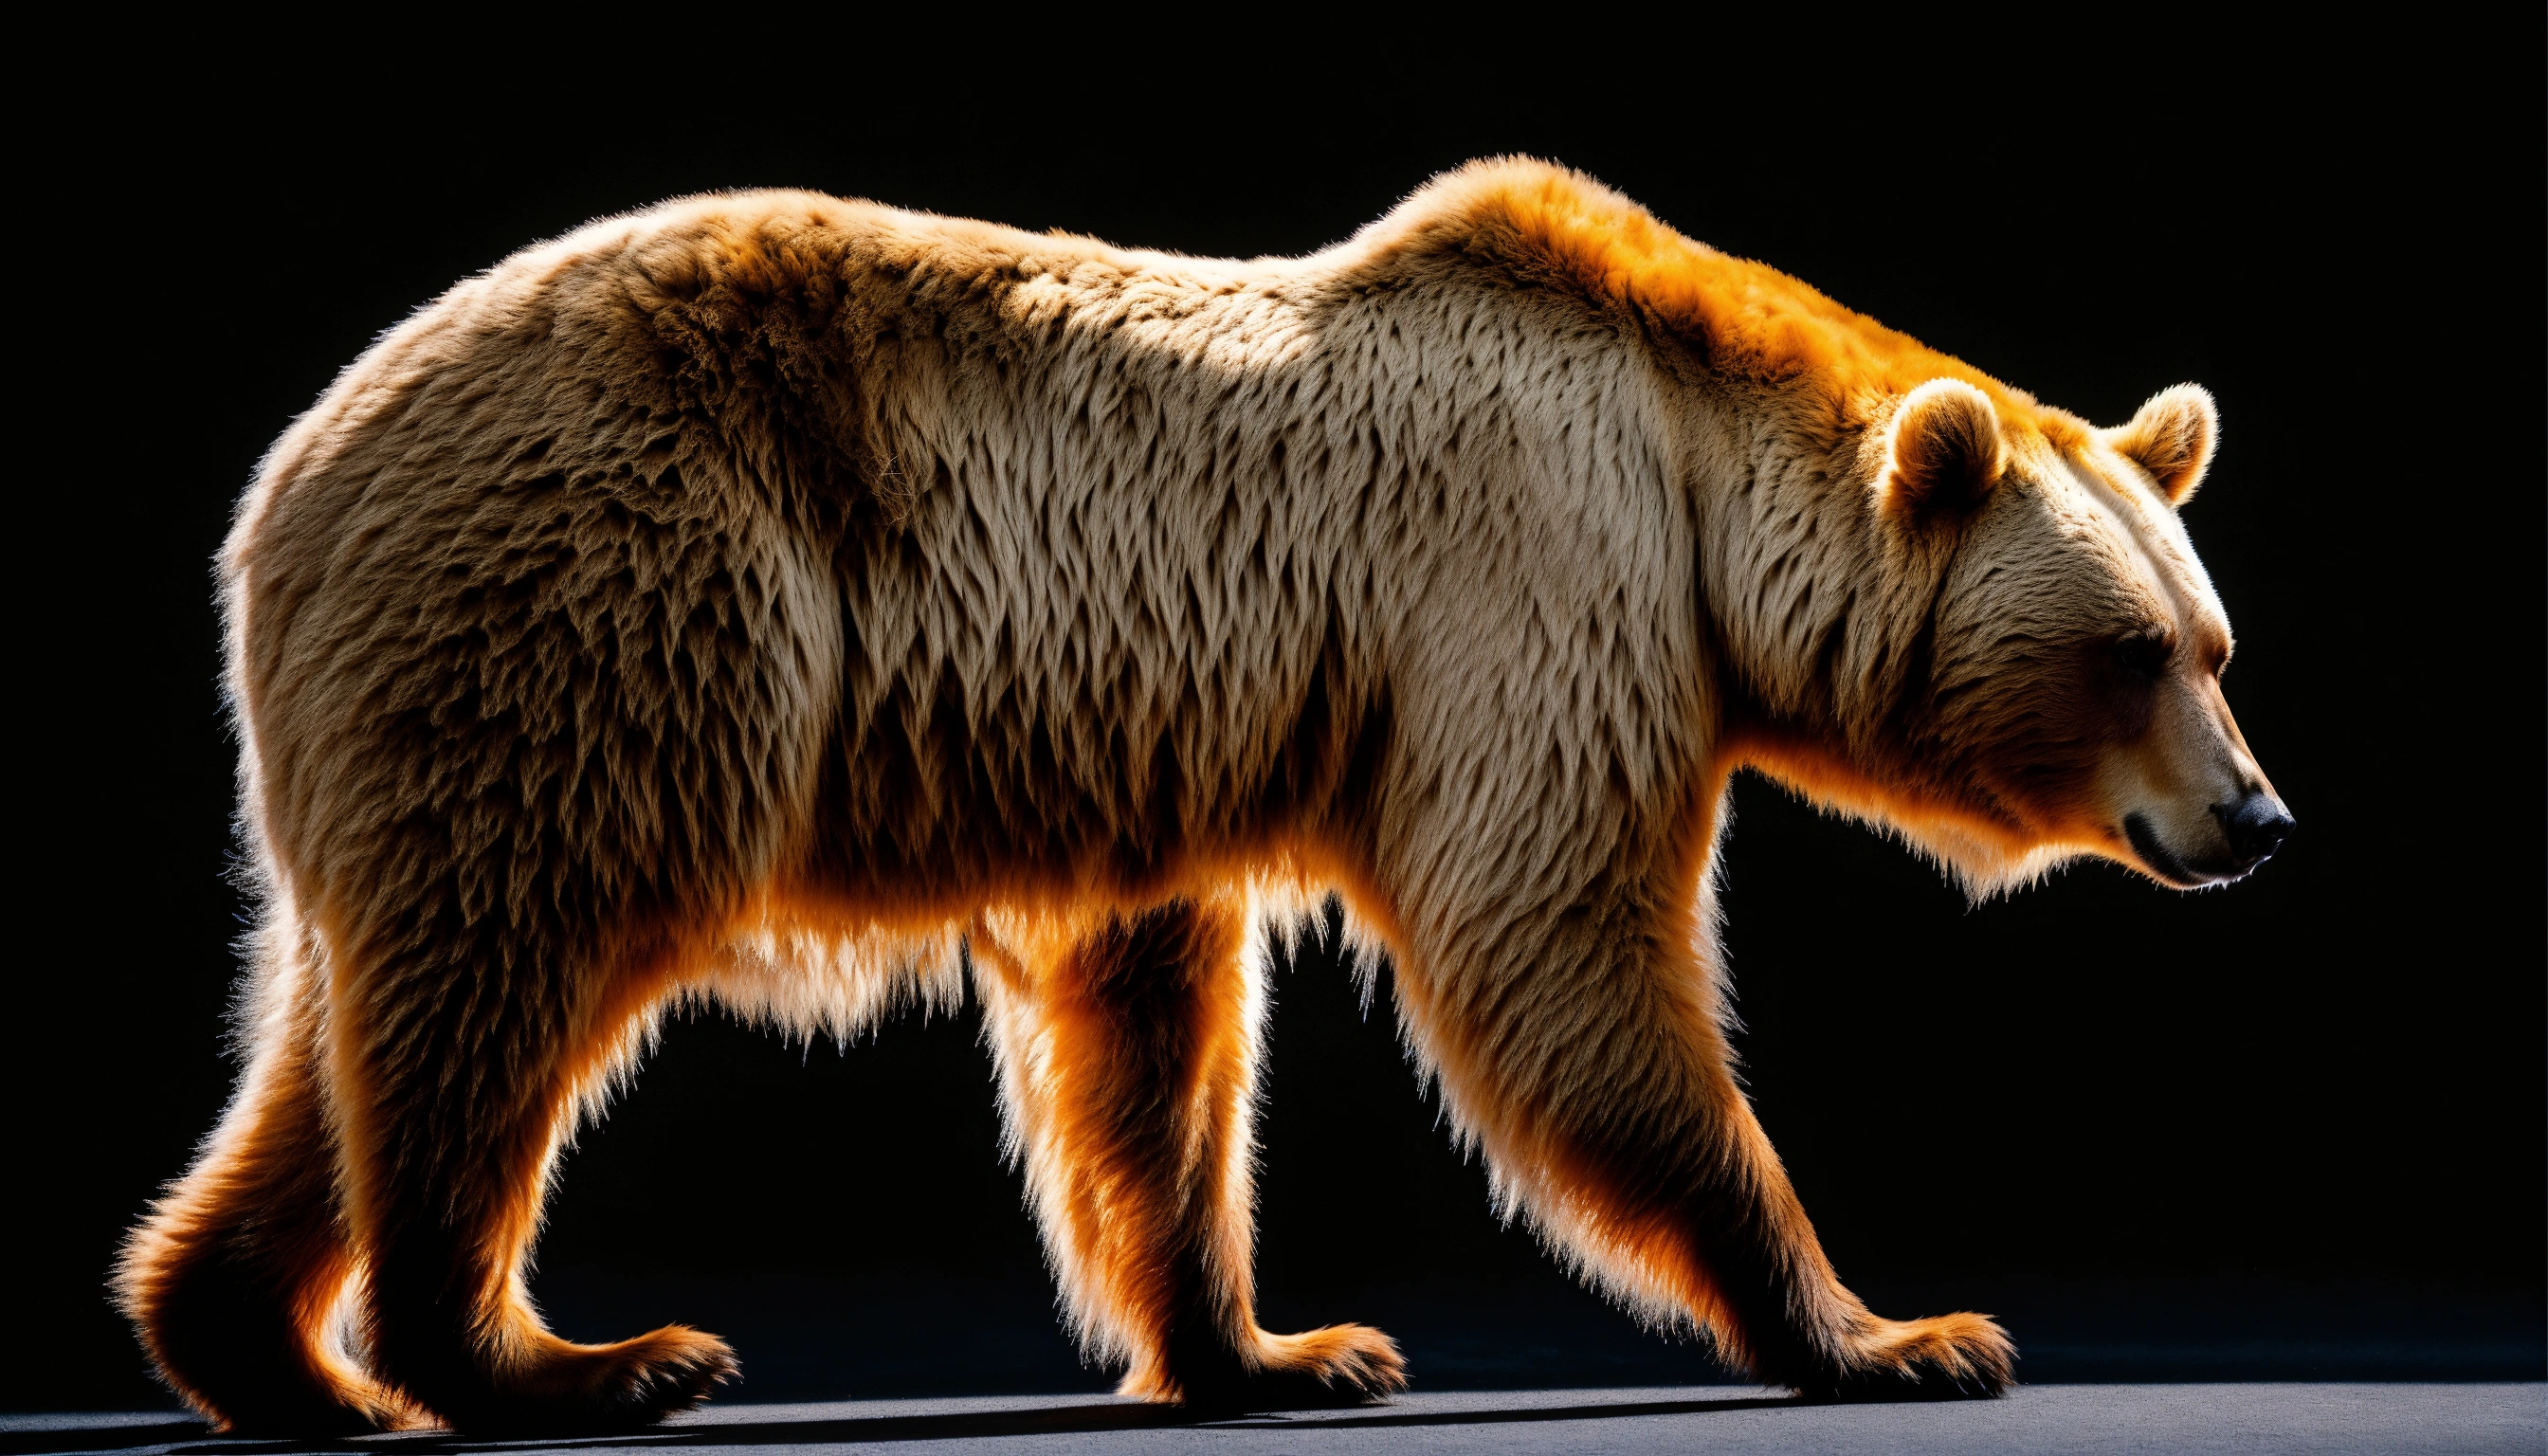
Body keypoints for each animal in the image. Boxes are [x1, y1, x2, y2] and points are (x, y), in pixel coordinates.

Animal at [115, 157, 2291, 1434]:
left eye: (2215, 641)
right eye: (2133, 653)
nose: (2257, 821)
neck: (1690, 477)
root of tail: (284, 484)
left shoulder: (1151, 738)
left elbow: (1151, 1039)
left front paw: (1276, 1346)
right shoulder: (1531, 586)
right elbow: (1563, 955)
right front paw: (1899, 1329)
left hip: (433, 708)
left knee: (353, 1020)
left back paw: (263, 1350)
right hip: (621, 598)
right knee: (511, 982)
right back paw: (569, 1360)